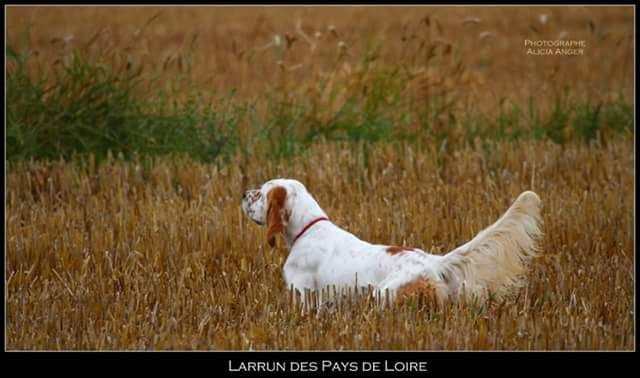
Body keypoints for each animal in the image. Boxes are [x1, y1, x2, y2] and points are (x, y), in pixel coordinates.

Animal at [242, 179, 544, 306]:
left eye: (260, 194)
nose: (244, 193)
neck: (308, 229)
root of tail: (435, 261)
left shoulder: (301, 290)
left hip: (385, 293)